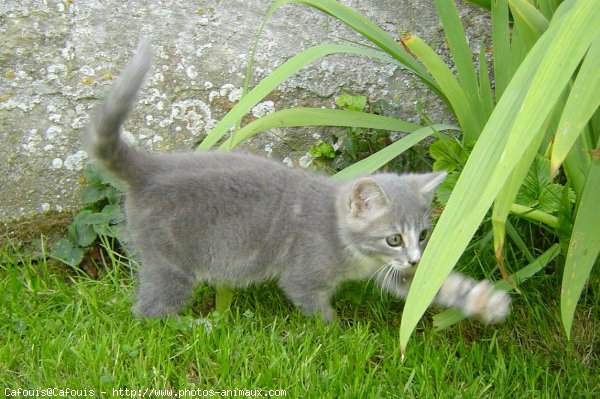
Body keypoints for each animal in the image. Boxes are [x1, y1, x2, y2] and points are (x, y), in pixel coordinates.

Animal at [88, 40, 510, 324]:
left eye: (422, 235)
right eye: (393, 238)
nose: (414, 257)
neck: (349, 243)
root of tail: (151, 167)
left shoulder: (388, 269)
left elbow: (428, 284)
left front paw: (482, 301)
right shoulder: (304, 277)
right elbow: (315, 307)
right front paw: (339, 336)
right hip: (171, 259)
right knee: (150, 310)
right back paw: (196, 325)